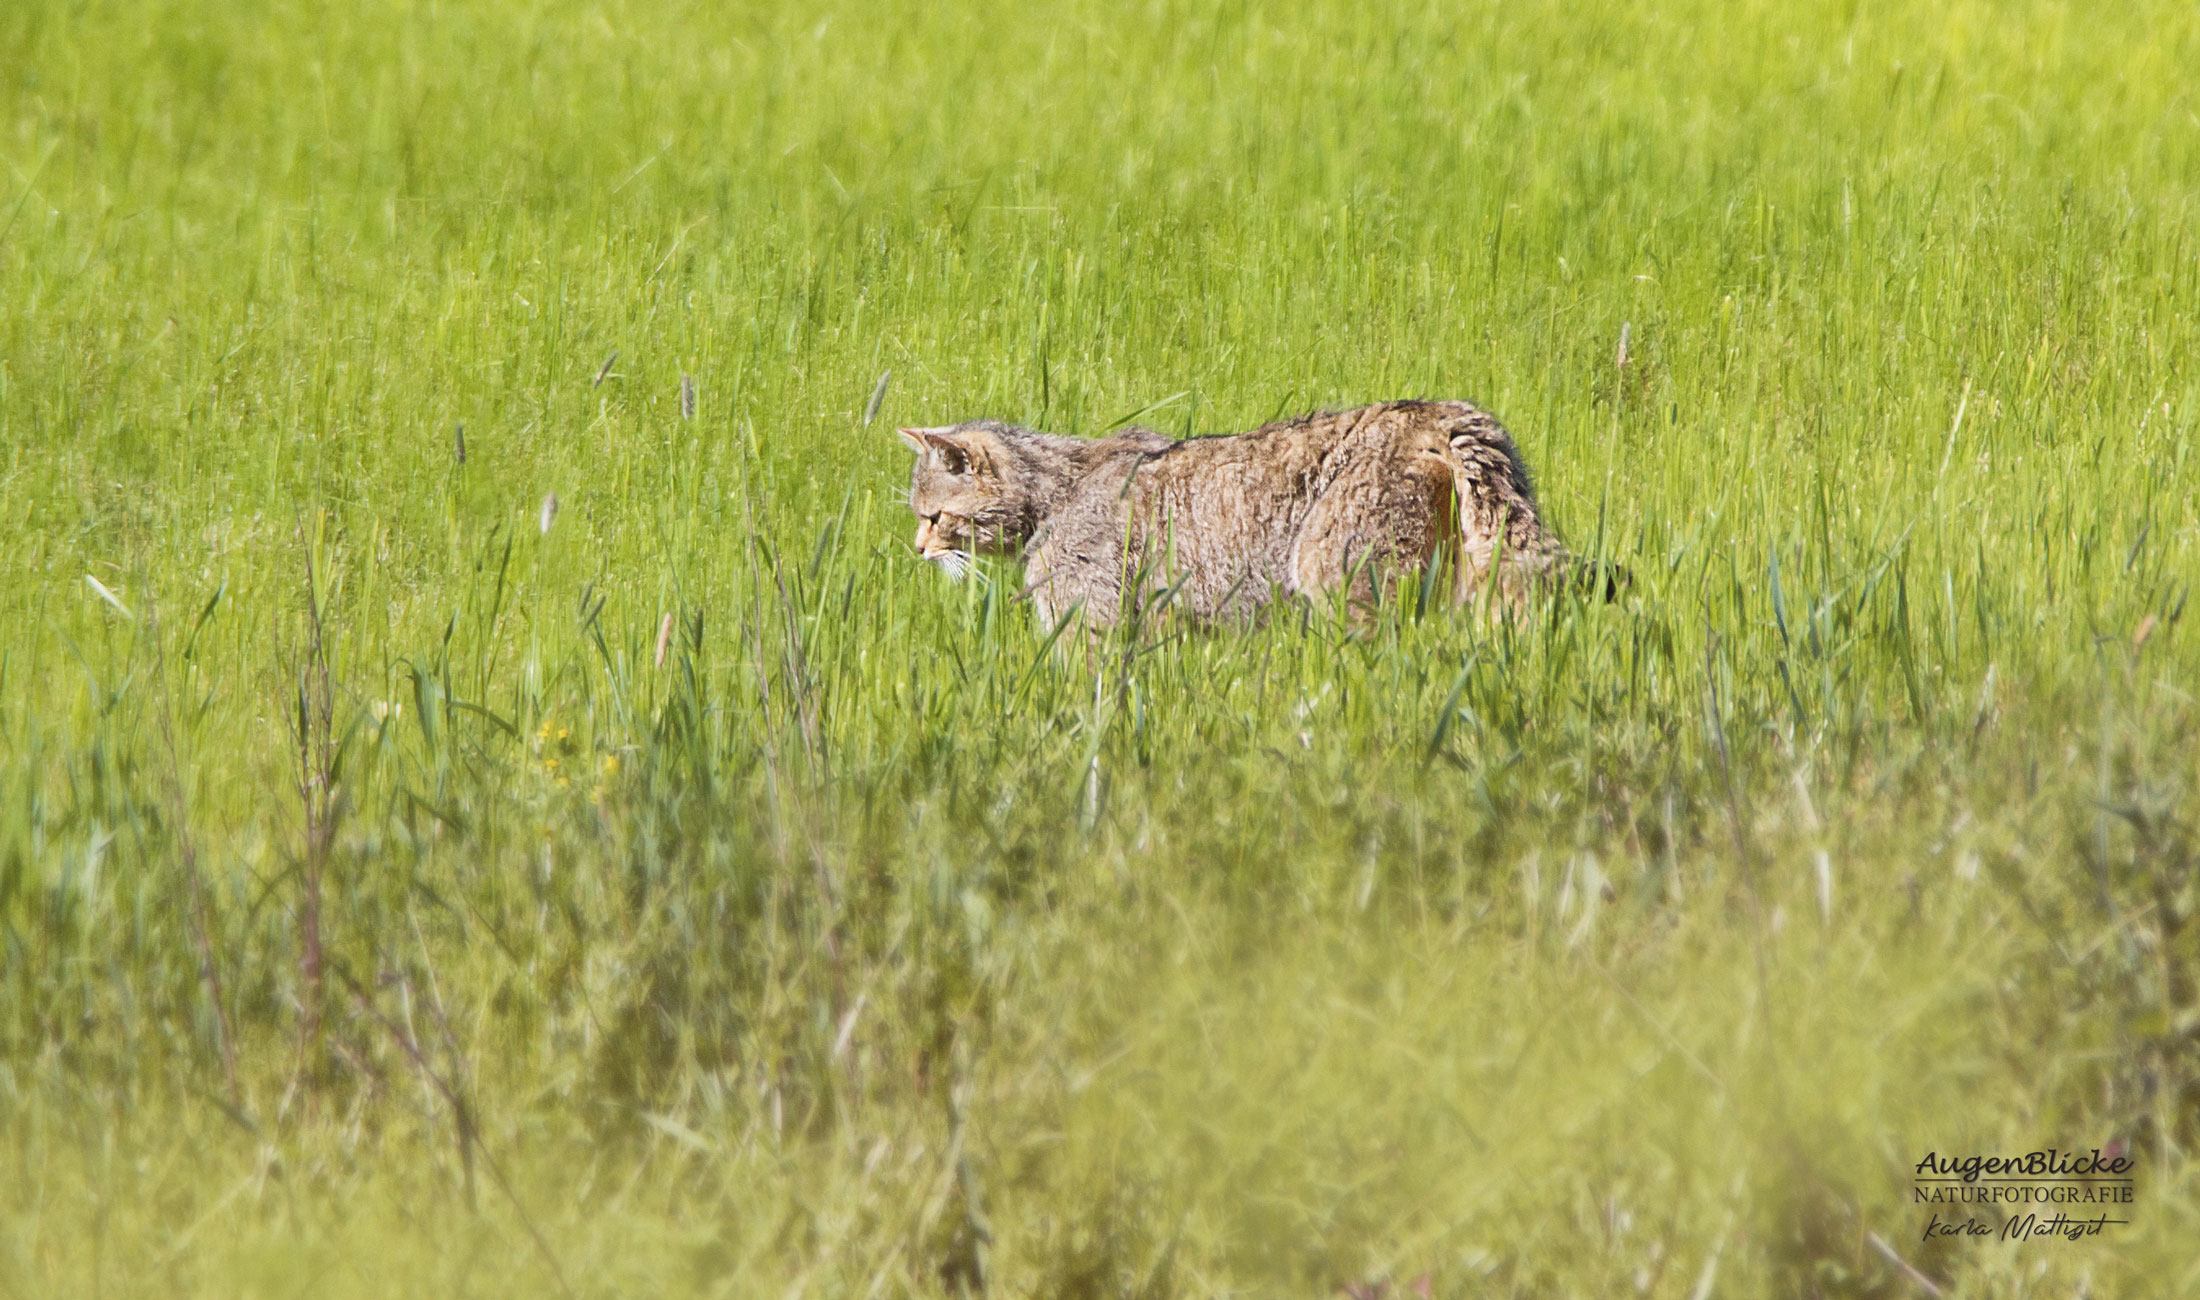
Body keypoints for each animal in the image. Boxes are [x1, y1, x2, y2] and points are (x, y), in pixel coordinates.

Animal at [893, 402, 1601, 637]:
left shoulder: (1089, 625)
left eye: (933, 517)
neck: (1054, 491)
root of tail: (1440, 411)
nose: (914, 552)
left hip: (1341, 584)